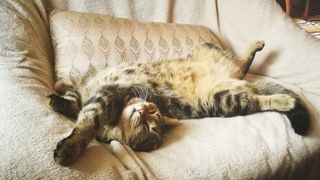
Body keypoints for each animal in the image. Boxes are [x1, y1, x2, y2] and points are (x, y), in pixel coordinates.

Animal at [48, 40, 308, 166]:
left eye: (153, 113)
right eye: (148, 123)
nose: (144, 109)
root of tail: (234, 79)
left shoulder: (107, 94)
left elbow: (87, 123)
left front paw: (70, 148)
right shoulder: (91, 95)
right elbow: (74, 102)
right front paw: (60, 95)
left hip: (224, 98)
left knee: (255, 95)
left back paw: (284, 99)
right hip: (217, 74)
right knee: (242, 67)